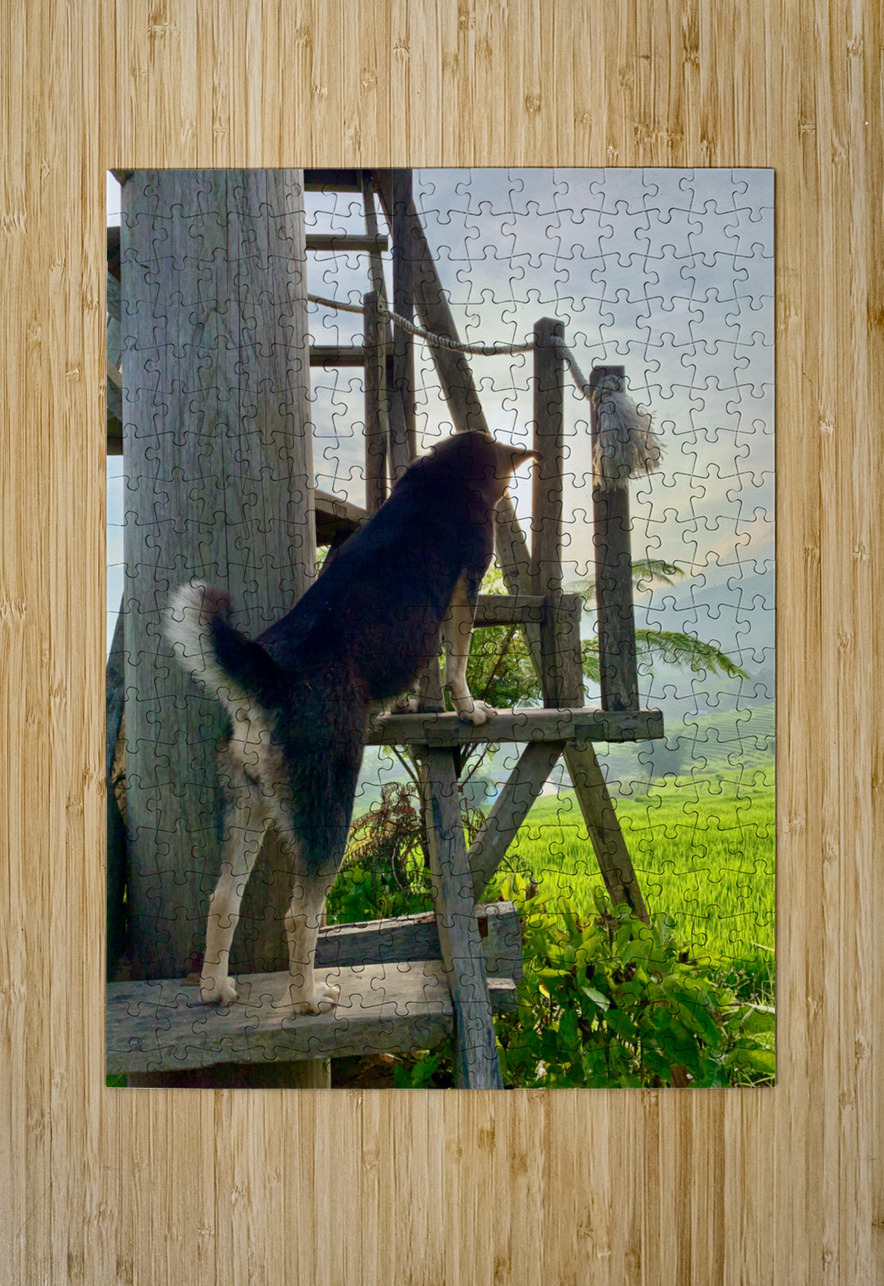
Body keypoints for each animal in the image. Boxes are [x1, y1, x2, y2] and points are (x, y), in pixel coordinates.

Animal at [165, 430, 539, 1012]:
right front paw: (470, 709)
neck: (443, 473)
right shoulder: (464, 588)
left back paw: (216, 989)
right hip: (328, 811)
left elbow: (424, 673)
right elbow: (454, 665)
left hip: (247, 803)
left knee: (223, 899)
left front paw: (407, 707)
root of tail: (271, 678)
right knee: (301, 916)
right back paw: (309, 999)